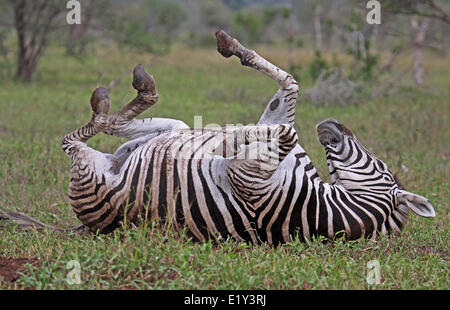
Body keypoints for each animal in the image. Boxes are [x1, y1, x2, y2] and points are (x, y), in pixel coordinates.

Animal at [2, 30, 436, 246]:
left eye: (380, 165)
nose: (335, 123)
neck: (323, 205)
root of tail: (89, 226)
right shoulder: (283, 147)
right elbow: (290, 88)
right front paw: (232, 49)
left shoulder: (250, 179)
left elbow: (278, 128)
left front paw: (216, 141)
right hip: (152, 132)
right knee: (123, 126)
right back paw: (140, 98)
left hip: (89, 176)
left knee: (73, 140)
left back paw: (117, 105)